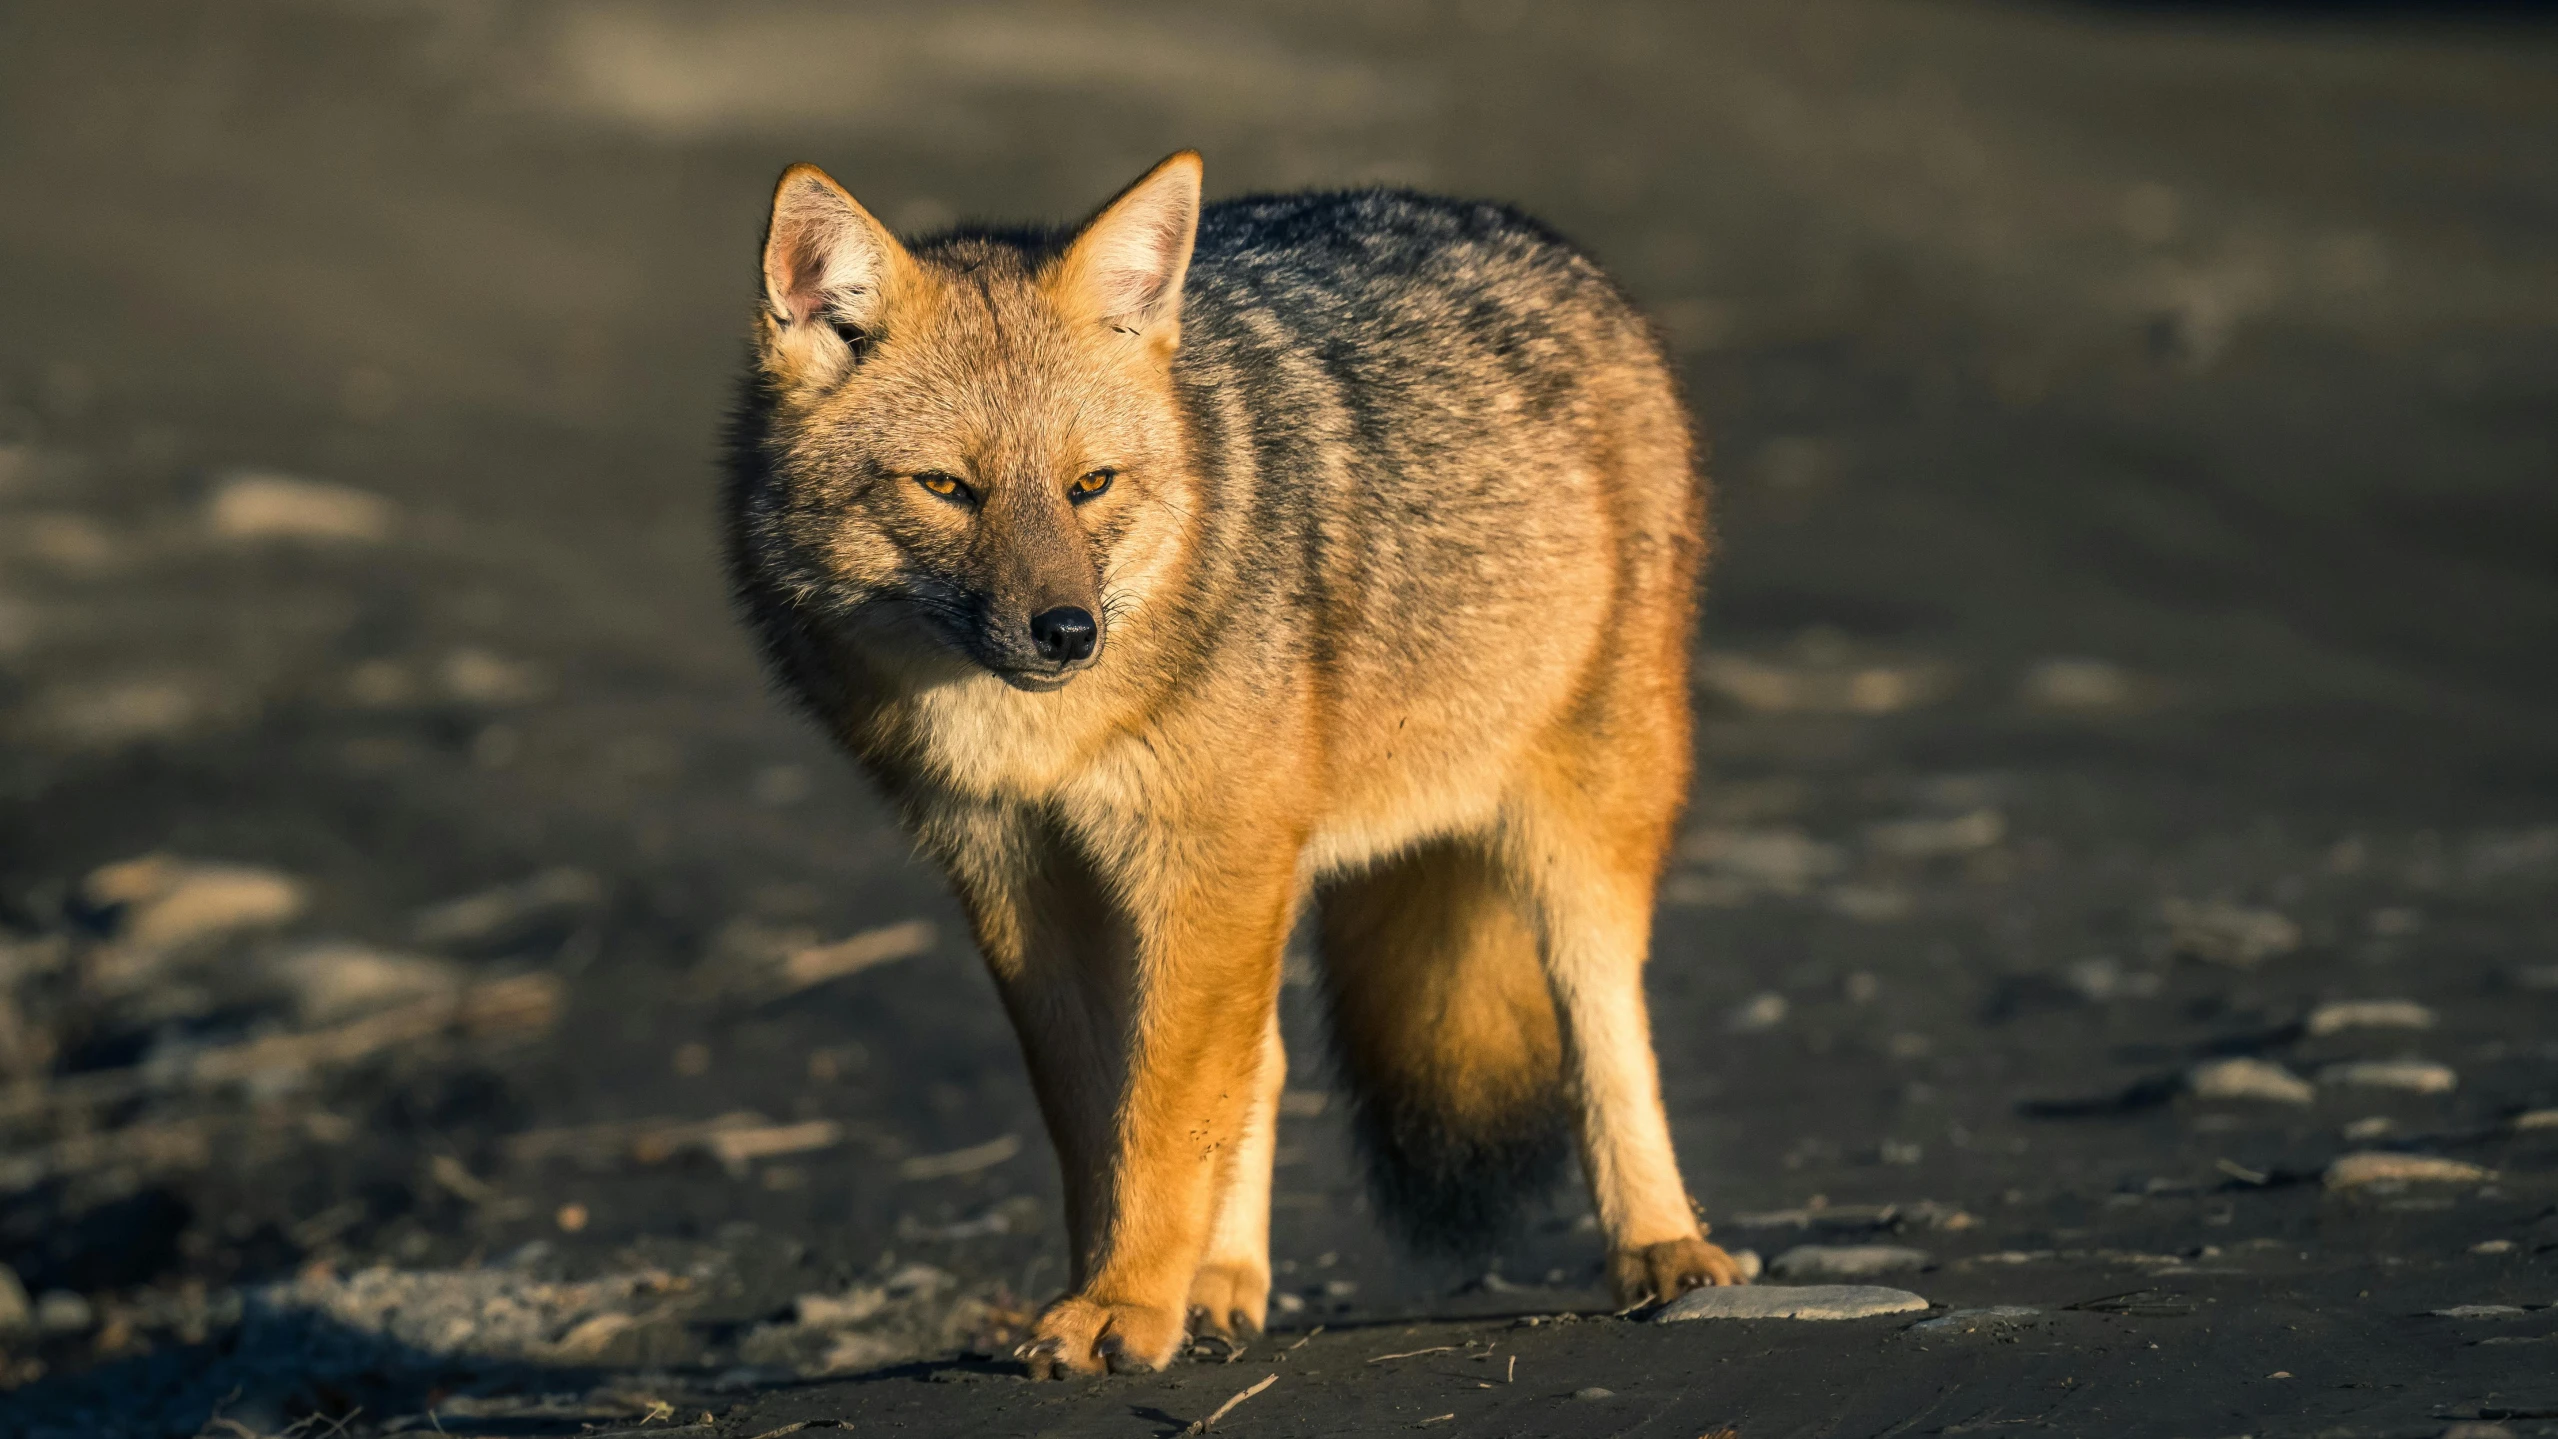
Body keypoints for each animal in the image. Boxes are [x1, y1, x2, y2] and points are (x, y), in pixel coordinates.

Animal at [731, 152, 1749, 1380]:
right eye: (946, 488)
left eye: (1089, 485)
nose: (1065, 633)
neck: (1033, 738)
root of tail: (1512, 227)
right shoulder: (1021, 878)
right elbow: (1108, 1117)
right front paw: (1121, 1290)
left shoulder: (1200, 860)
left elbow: (1165, 1115)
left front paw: (1123, 1301)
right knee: (1259, 1064)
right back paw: (1221, 1285)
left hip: (1573, 825)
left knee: (1605, 1029)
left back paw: (1663, 1244)